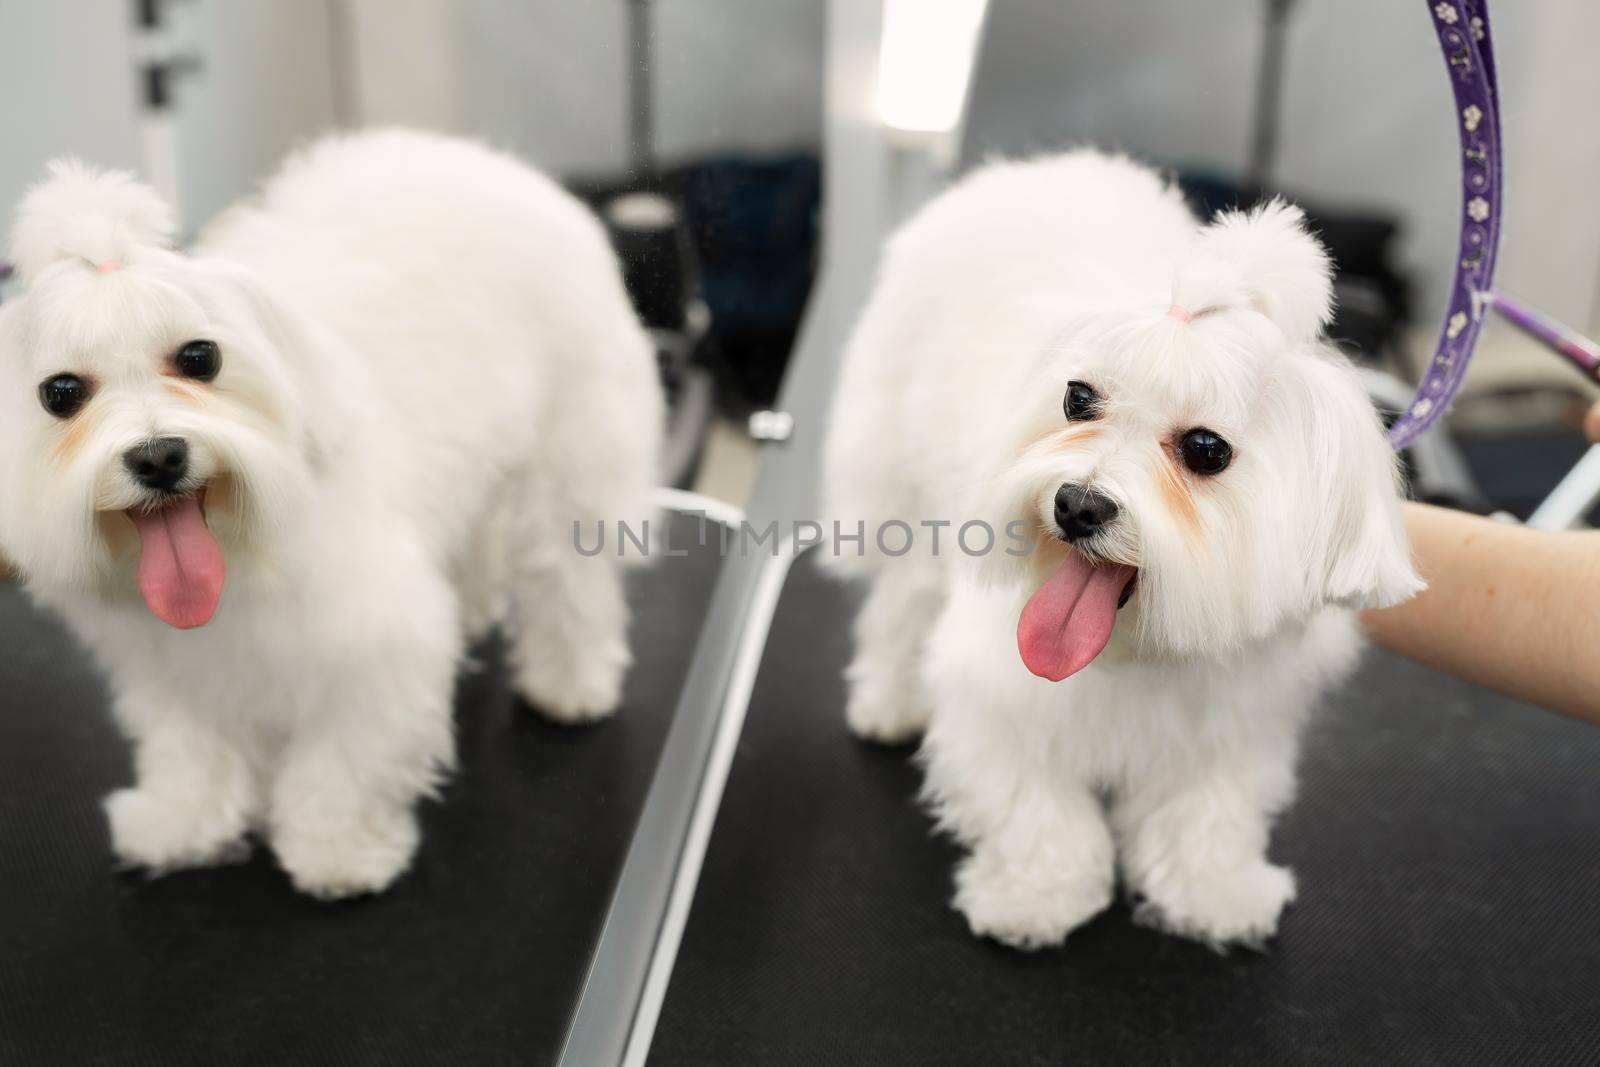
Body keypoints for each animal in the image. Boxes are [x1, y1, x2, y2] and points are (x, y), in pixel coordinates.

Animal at [0, 131, 662, 902]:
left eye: (199, 356)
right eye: (61, 392)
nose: (159, 456)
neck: (237, 554)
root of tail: (490, 161)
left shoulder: (372, 644)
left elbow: (347, 757)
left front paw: (337, 847)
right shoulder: (168, 664)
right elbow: (189, 745)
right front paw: (183, 819)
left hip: (572, 455)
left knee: (568, 579)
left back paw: (570, 684)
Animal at [832, 151, 1420, 953]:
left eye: (1206, 449)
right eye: (1078, 398)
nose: (1077, 504)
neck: (1135, 651)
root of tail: (1027, 168)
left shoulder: (1234, 716)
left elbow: (1208, 811)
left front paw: (1213, 891)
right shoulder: (1002, 690)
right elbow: (1034, 803)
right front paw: (1036, 894)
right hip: (906, 486)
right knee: (902, 603)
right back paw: (891, 701)